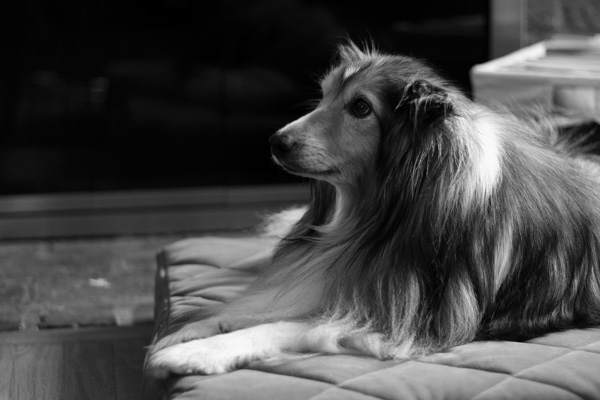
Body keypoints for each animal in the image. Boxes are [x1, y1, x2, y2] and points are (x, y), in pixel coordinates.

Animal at [146, 42, 600, 376]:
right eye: (325, 95)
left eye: (361, 107)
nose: (275, 142)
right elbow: (271, 302)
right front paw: (195, 328)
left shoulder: (412, 324)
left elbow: (291, 324)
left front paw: (198, 351)